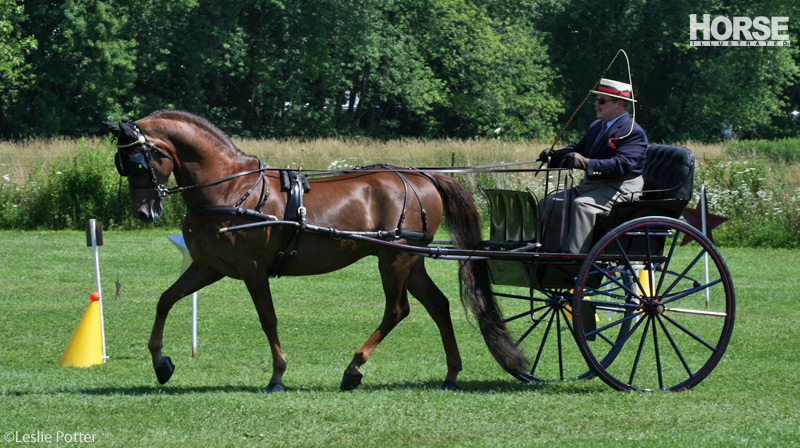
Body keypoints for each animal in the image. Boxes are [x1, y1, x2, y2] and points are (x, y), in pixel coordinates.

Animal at [103, 110, 528, 390]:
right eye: (123, 163)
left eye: (137, 160)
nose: (144, 212)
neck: (229, 188)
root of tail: (423, 175)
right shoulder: (209, 267)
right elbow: (165, 300)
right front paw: (161, 362)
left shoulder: (252, 269)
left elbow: (268, 318)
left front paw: (277, 375)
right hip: (411, 261)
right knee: (438, 305)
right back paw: (452, 372)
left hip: (395, 259)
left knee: (397, 310)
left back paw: (354, 368)